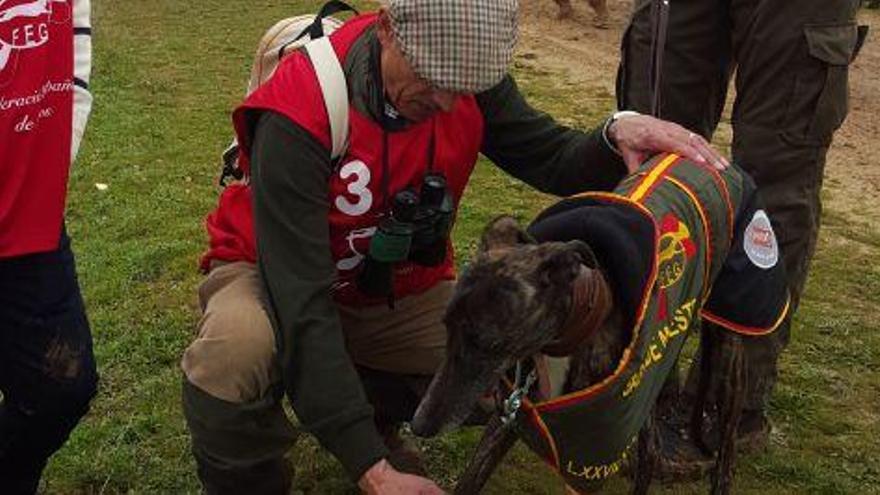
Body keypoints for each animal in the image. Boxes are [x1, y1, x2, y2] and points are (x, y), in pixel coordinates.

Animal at [412, 153, 792, 494]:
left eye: (489, 344)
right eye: (446, 327)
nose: (418, 424)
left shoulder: (600, 443)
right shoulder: (516, 412)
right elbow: (472, 476)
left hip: (731, 348)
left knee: (719, 452)